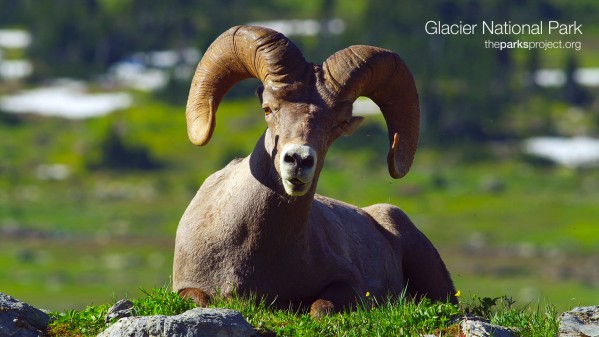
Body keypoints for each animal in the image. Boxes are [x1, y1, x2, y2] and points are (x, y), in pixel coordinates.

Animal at [173, 24, 454, 316]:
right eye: (267, 109)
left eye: (340, 122)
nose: (298, 160)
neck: (250, 248)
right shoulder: (187, 288)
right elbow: (198, 299)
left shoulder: (349, 284)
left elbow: (320, 308)